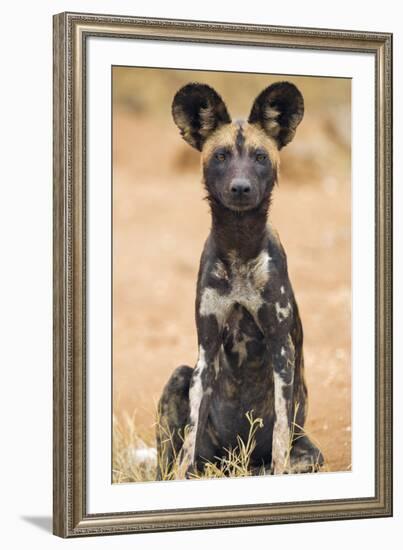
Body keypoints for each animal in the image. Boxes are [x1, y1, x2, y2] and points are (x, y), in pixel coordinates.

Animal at [155, 81, 326, 478]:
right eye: (220, 156)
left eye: (260, 157)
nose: (241, 187)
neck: (239, 246)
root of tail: (235, 463)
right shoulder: (206, 349)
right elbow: (189, 439)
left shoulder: (281, 347)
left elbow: (279, 435)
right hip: (181, 378)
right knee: (173, 462)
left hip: (309, 454)